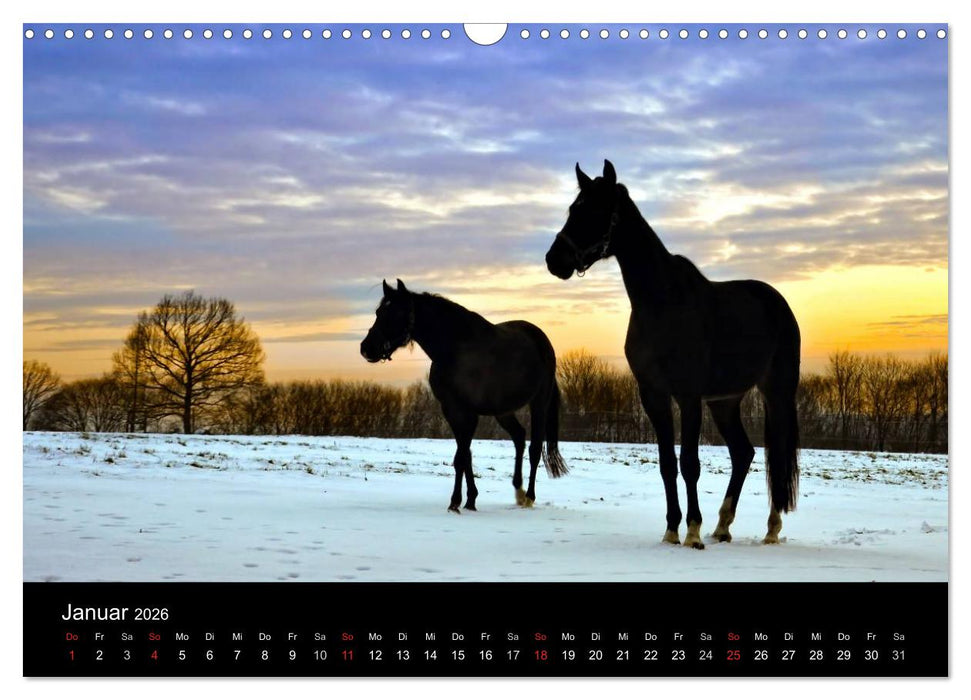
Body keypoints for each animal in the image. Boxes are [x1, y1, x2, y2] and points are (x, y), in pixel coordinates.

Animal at [360, 279, 568, 512]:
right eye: (379, 312)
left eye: (395, 313)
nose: (366, 348)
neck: (455, 350)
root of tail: (541, 340)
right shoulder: (451, 410)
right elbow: (465, 455)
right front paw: (469, 500)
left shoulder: (468, 413)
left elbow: (461, 456)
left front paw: (455, 502)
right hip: (503, 410)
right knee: (519, 437)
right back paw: (518, 491)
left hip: (539, 403)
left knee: (534, 449)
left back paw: (529, 497)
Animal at [545, 160, 800, 548]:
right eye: (574, 208)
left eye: (595, 209)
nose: (554, 260)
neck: (661, 303)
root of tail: (778, 304)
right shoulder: (653, 394)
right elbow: (667, 463)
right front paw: (671, 530)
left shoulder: (688, 396)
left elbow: (689, 463)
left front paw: (692, 532)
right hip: (725, 401)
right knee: (743, 453)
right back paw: (722, 526)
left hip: (777, 393)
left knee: (778, 454)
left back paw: (770, 529)